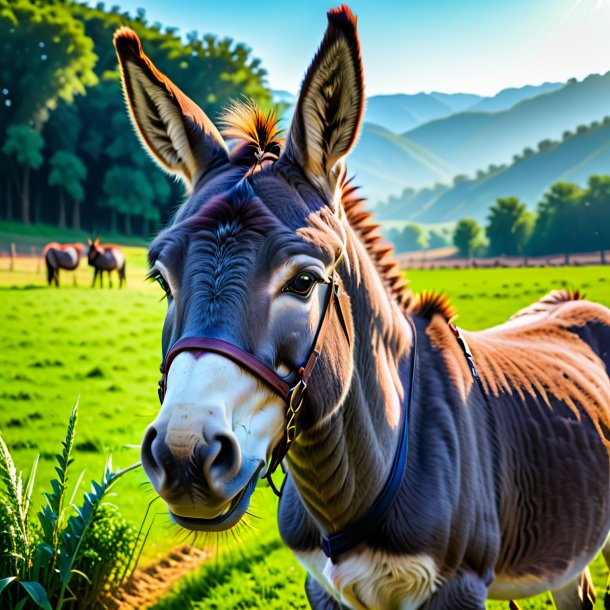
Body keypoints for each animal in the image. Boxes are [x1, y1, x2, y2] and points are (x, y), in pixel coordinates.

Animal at [114, 5, 608, 608]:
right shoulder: (323, 585)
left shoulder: (458, 587)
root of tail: (574, 301)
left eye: (304, 282)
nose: (184, 455)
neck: (350, 492)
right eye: (163, 281)